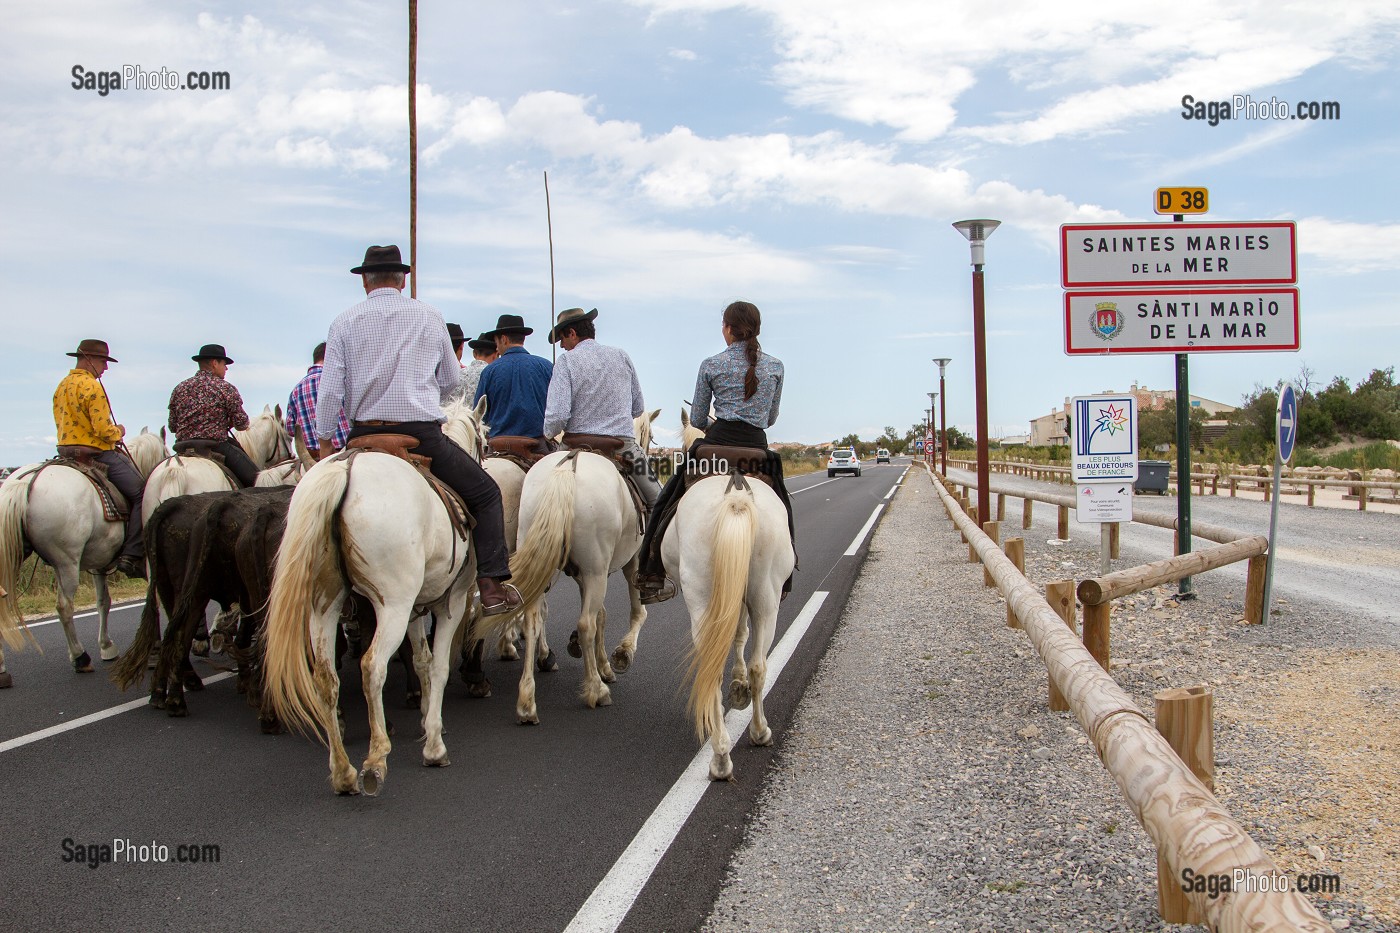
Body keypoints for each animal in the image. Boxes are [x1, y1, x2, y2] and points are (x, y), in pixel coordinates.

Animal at [0, 425, 170, 680]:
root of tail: (27, 480)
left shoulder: (99, 564)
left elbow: (103, 602)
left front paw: (107, 646)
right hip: (67, 563)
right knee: (64, 606)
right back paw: (80, 657)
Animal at [264, 400, 490, 790]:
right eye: (486, 444)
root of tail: (347, 466)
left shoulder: (416, 607)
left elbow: (421, 660)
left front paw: (425, 719)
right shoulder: (452, 601)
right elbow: (439, 664)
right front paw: (434, 743)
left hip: (325, 607)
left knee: (326, 677)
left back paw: (342, 772)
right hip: (392, 606)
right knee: (371, 666)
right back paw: (375, 760)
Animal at [478, 406, 658, 717]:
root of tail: (568, 467)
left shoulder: (582, 573)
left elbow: (601, 615)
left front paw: (602, 664)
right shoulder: (626, 563)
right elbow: (634, 613)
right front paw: (620, 656)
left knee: (532, 616)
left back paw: (527, 699)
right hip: (595, 570)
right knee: (584, 623)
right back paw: (595, 690)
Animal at [669, 406, 795, 778]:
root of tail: (736, 496)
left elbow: (736, 633)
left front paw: (737, 686)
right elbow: (740, 635)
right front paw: (739, 687)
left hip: (707, 598)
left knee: (718, 661)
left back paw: (724, 755)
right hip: (766, 599)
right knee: (758, 665)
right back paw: (752, 736)